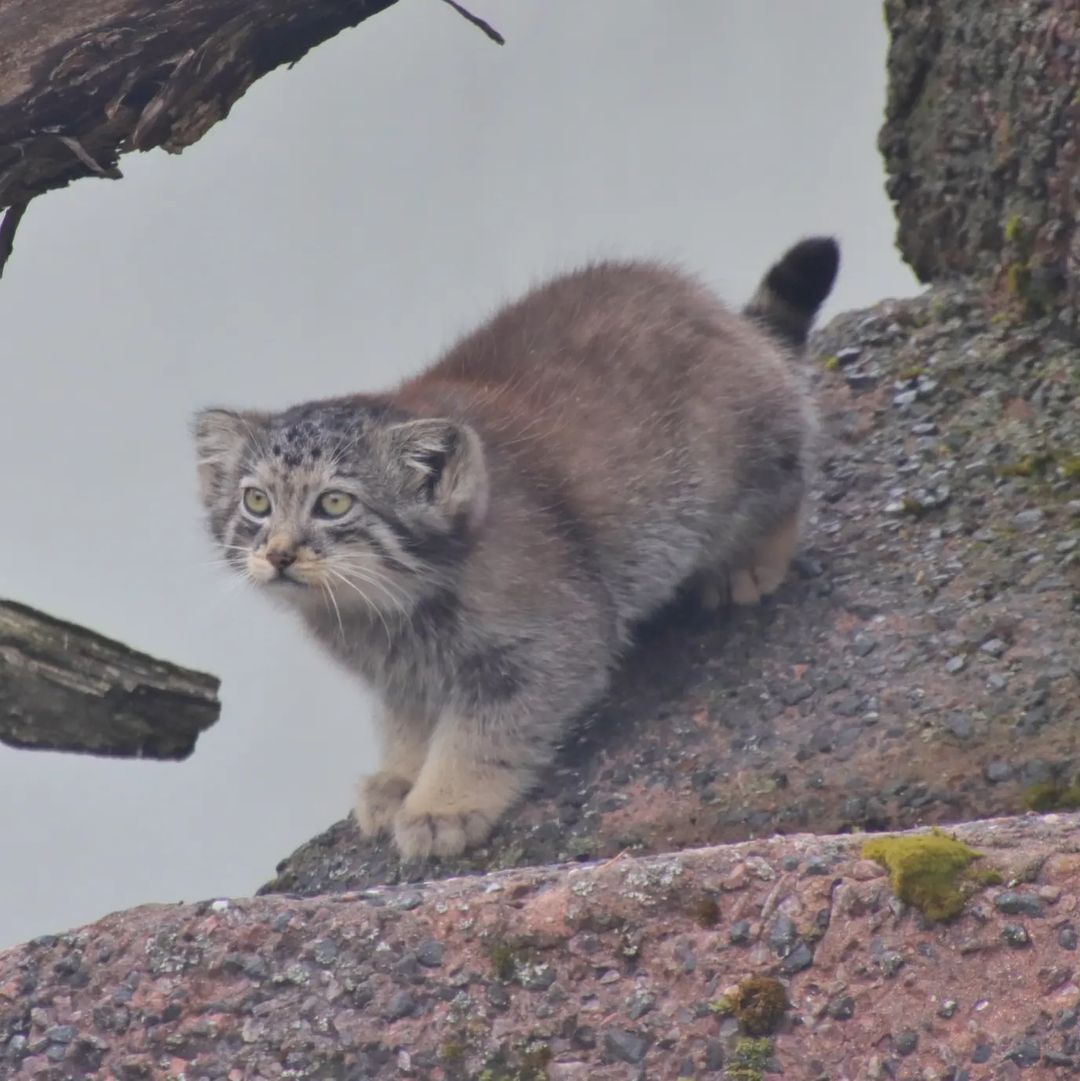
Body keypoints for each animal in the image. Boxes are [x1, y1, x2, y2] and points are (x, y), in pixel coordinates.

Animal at [192, 238, 834, 860]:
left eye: (333, 504)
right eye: (256, 502)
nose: (278, 554)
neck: (388, 609)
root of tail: (721, 314)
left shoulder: (549, 644)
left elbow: (483, 733)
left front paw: (443, 806)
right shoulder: (402, 677)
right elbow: (409, 723)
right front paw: (399, 778)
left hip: (737, 468)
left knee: (793, 471)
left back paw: (749, 562)